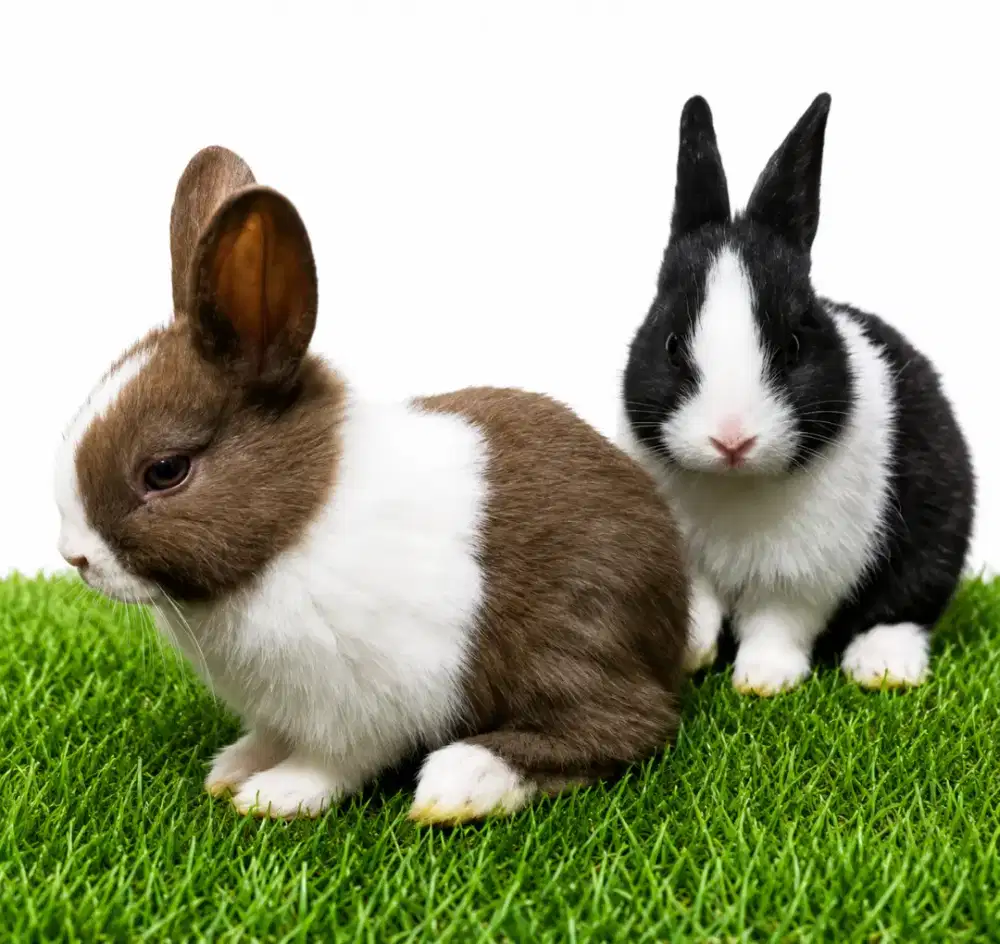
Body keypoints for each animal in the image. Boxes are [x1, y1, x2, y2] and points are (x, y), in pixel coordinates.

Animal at [53, 146, 689, 823]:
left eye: (166, 471)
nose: (75, 557)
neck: (297, 527)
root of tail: (672, 606)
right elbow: (269, 736)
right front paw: (231, 769)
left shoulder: (360, 702)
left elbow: (332, 761)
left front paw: (275, 796)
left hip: (570, 639)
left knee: (628, 723)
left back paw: (460, 783)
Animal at [617, 93, 975, 697]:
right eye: (669, 343)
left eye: (792, 346)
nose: (731, 440)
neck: (734, 485)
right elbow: (699, 603)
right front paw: (693, 654)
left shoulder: (804, 576)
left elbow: (777, 624)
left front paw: (763, 681)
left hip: (939, 533)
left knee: (905, 607)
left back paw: (883, 670)